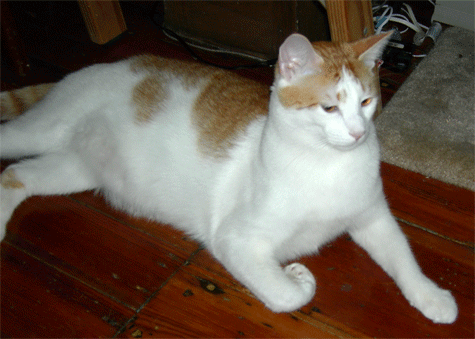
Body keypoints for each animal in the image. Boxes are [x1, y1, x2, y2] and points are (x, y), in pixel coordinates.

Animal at [0, 31, 462, 324]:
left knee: (16, 174)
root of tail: (103, 65)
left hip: (74, 167)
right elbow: (287, 295)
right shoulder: (236, 240)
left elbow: (403, 257)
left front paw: (431, 297)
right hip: (40, 132)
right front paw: (298, 276)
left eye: (366, 101)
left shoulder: (372, 217)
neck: (327, 165)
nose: (357, 133)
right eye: (329, 107)